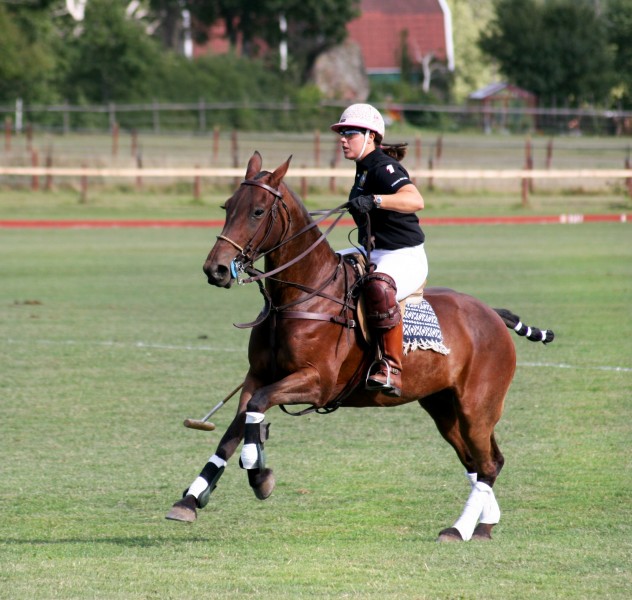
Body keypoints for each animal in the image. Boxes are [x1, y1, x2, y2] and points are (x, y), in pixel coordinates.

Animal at [167, 151, 552, 544]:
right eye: (227, 206)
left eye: (258, 211)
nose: (215, 269)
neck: (301, 295)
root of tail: (492, 314)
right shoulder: (257, 375)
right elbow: (234, 429)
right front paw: (191, 499)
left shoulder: (317, 383)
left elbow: (256, 411)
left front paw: (259, 476)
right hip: (443, 405)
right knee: (479, 461)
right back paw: (485, 525)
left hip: (478, 404)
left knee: (489, 463)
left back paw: (459, 529)